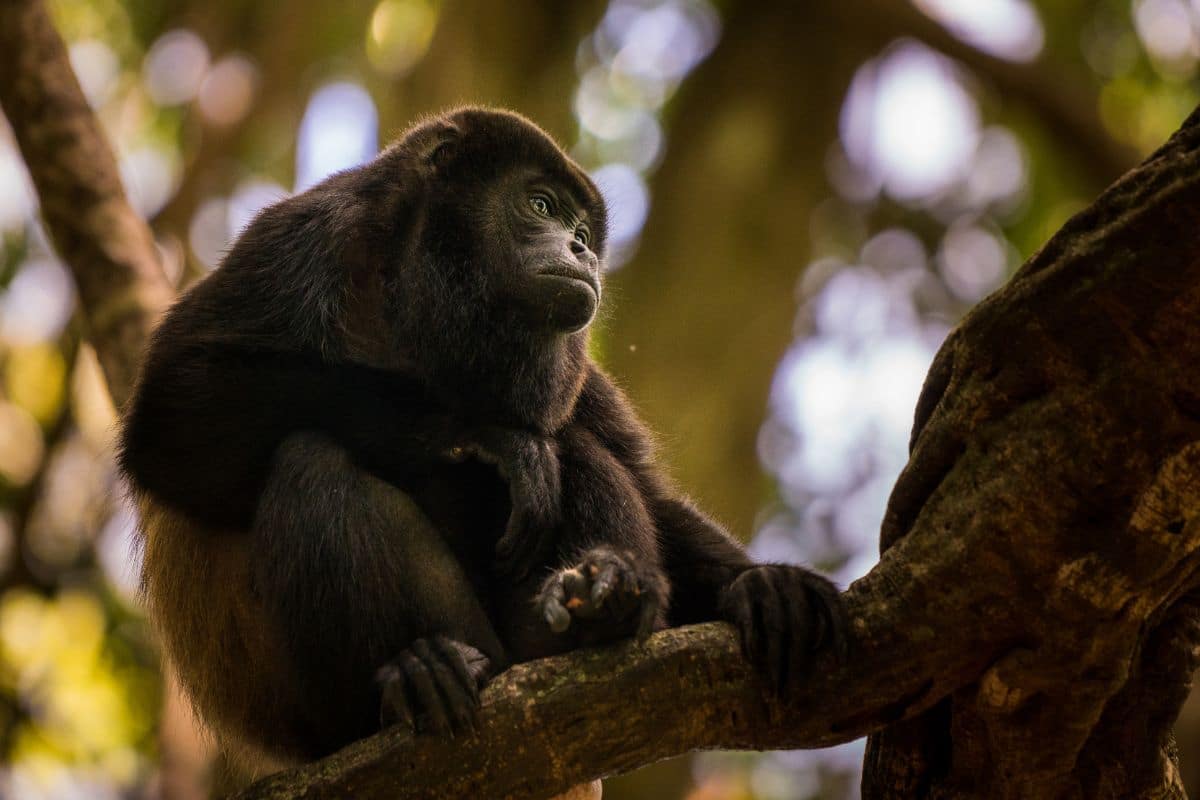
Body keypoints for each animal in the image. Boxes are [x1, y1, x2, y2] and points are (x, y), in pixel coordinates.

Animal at [118, 106, 846, 769]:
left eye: (583, 230)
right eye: (541, 204)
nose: (582, 251)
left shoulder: (576, 370)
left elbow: (646, 486)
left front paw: (757, 584)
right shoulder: (302, 237)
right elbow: (174, 413)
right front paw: (488, 437)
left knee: (576, 452)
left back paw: (603, 605)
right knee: (310, 461)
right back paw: (413, 675)